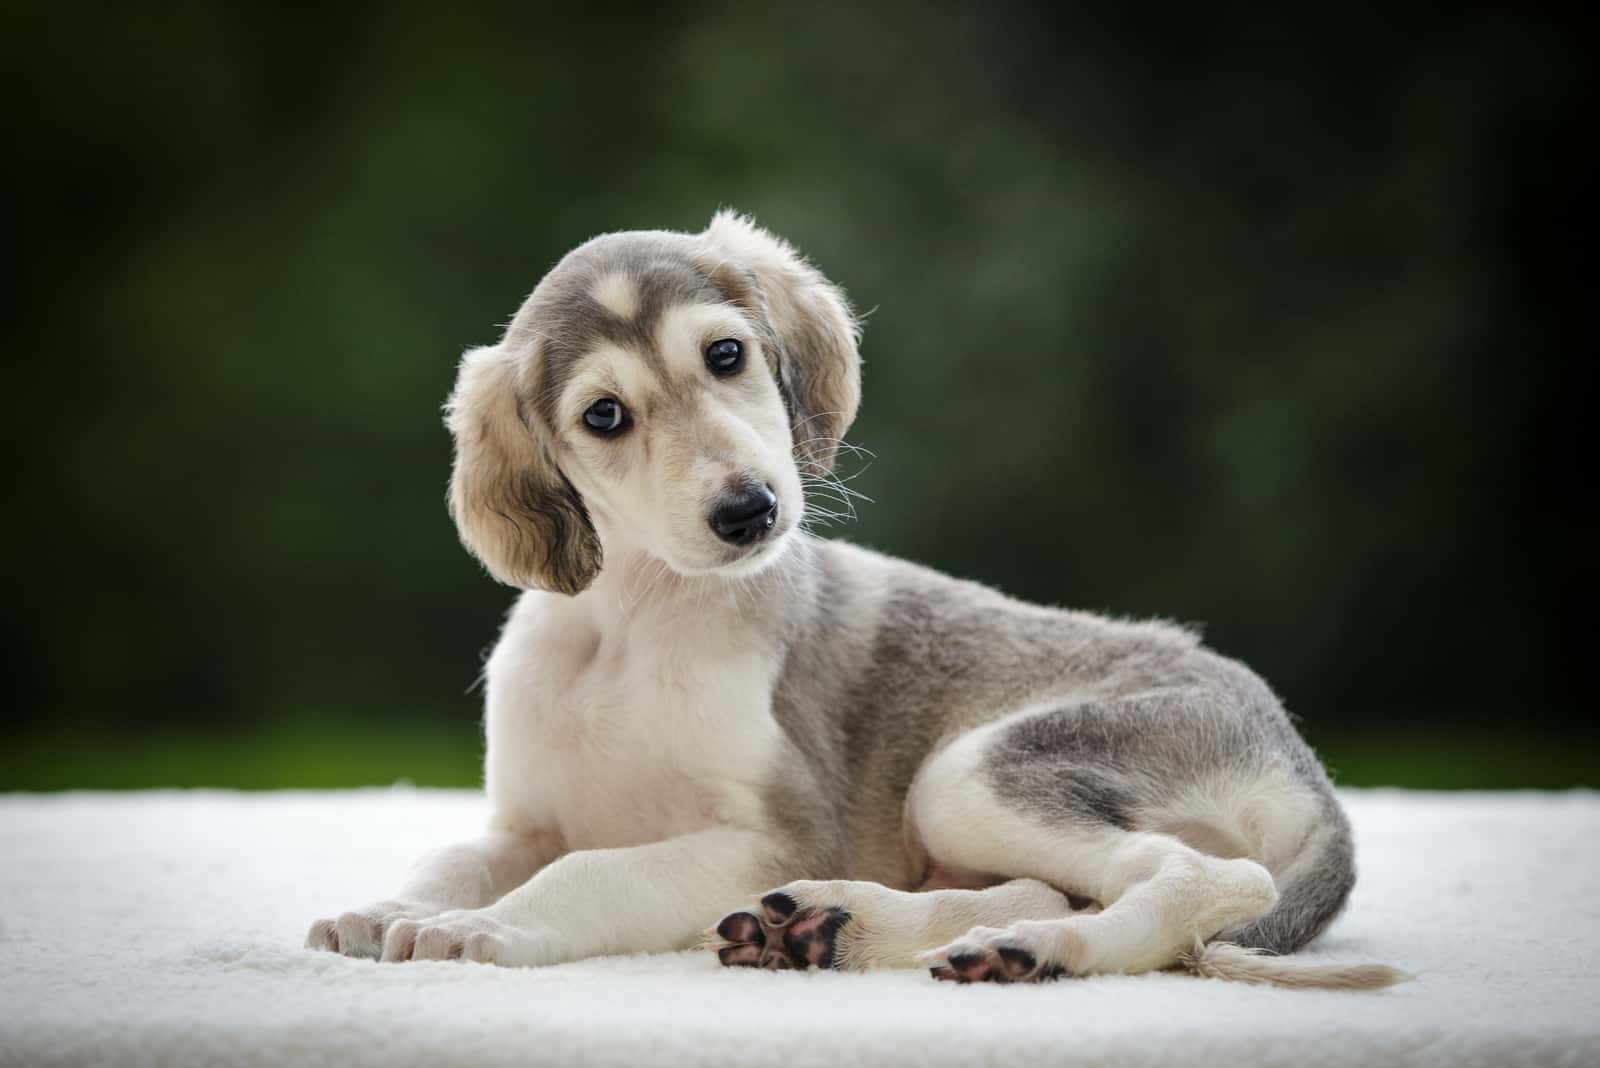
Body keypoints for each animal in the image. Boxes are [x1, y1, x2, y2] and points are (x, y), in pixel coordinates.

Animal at [308, 212, 1401, 991]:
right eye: (604, 416)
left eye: (726, 355)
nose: (749, 511)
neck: (633, 627)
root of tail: (1304, 763)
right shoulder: (526, 823)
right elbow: (451, 856)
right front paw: (385, 912)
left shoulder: (777, 832)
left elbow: (591, 874)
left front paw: (480, 928)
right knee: (1061, 888)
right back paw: (850, 930)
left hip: (966, 777)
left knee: (1214, 881)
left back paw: (1026, 950)